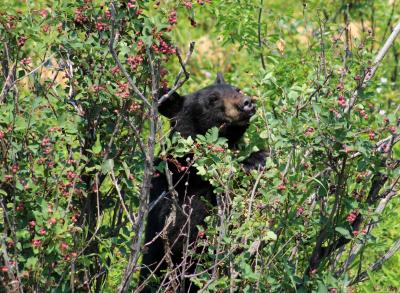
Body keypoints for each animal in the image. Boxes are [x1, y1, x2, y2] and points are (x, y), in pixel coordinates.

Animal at [141, 72, 266, 290]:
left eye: (237, 89)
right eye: (212, 100)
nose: (246, 102)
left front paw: (258, 158)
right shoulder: (178, 191)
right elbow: (184, 228)